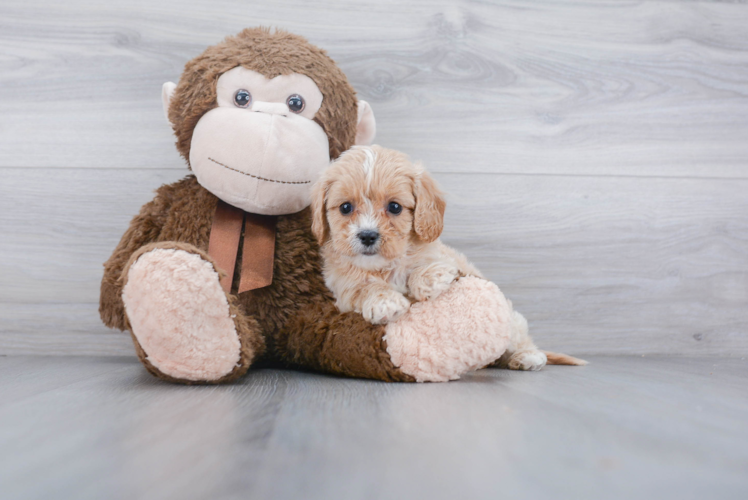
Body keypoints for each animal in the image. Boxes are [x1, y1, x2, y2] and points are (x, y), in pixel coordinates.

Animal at [310, 143, 568, 370]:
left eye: (394, 207)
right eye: (345, 207)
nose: (367, 235)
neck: (385, 266)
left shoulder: (442, 257)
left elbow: (423, 268)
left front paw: (430, 278)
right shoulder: (341, 288)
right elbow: (362, 287)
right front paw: (384, 301)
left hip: (511, 320)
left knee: (516, 339)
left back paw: (528, 357)